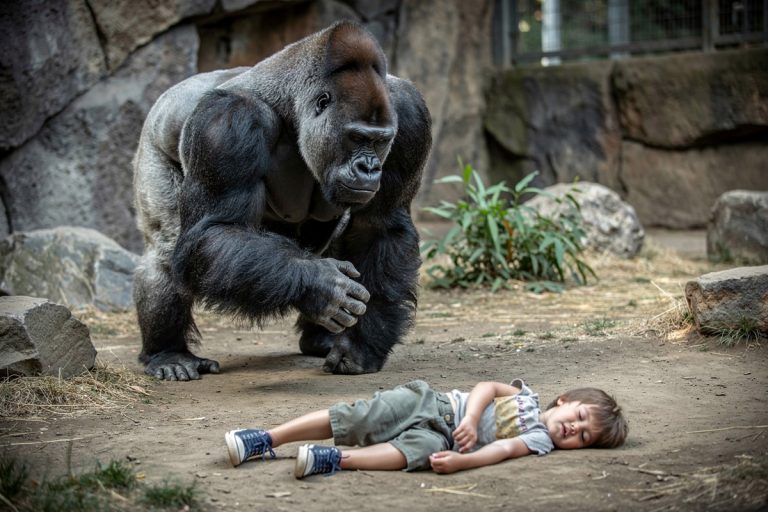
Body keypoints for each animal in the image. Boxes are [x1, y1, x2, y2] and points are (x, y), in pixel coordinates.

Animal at [132, 21, 431, 381]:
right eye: (357, 137)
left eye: (380, 141)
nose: (370, 168)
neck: (292, 106)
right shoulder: (226, 122)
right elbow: (215, 232)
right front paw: (318, 284)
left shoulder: (409, 116)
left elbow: (379, 228)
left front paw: (360, 346)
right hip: (156, 137)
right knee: (164, 250)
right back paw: (168, 353)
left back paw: (320, 339)